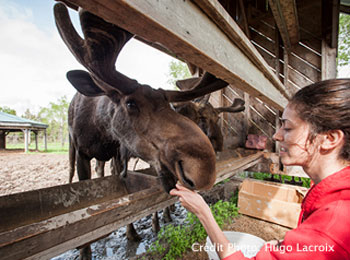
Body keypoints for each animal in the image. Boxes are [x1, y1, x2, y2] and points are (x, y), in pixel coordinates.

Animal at [54, 3, 232, 258]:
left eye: (169, 105)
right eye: (131, 104)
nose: (204, 169)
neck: (101, 130)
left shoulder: (119, 154)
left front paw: (132, 232)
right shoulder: (83, 153)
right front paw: (84, 250)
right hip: (71, 148)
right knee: (71, 174)